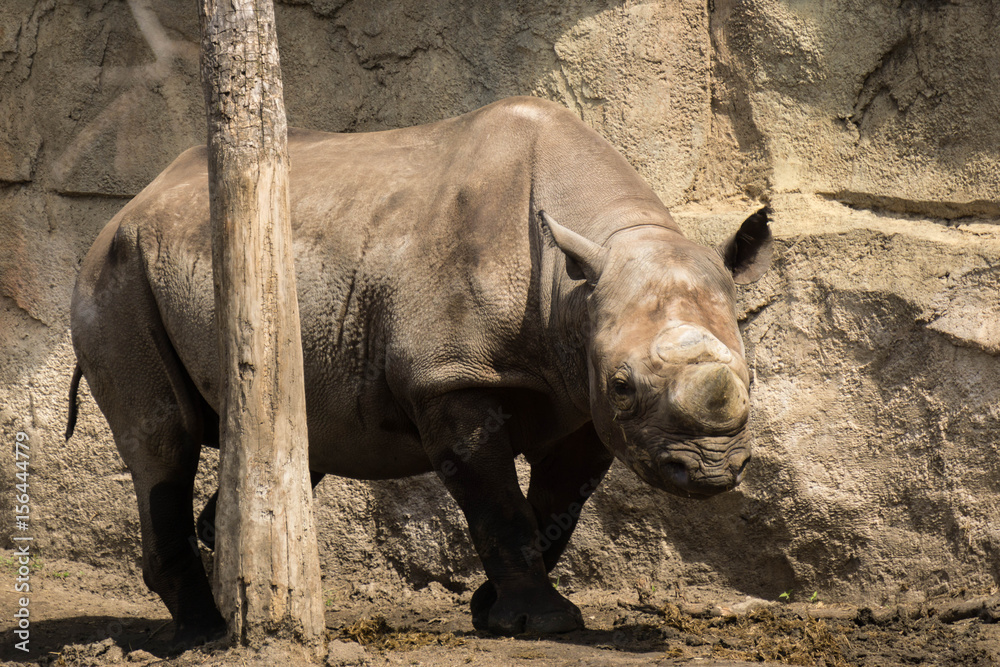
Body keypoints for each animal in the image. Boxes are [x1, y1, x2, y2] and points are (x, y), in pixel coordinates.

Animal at [67, 96, 772, 645]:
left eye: (753, 377)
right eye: (624, 385)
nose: (711, 471)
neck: (578, 277)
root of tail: (133, 201)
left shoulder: (581, 401)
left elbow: (559, 503)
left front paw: (492, 610)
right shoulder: (450, 376)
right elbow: (497, 500)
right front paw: (540, 624)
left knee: (292, 439)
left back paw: (239, 602)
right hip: (114, 276)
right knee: (165, 441)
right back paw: (205, 633)